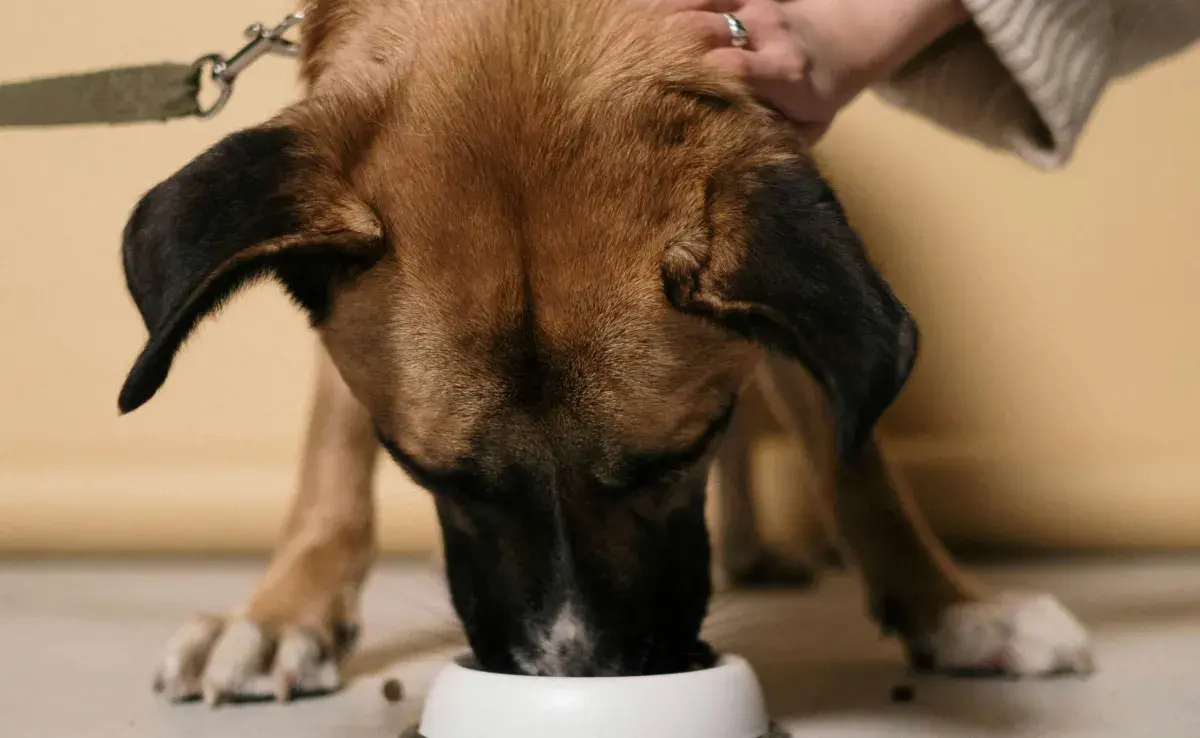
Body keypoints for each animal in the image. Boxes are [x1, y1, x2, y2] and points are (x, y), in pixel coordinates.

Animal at [117, 0, 1094, 705]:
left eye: (676, 458)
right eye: (435, 477)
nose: (579, 673)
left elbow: (855, 459)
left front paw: (953, 608)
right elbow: (332, 453)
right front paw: (284, 611)